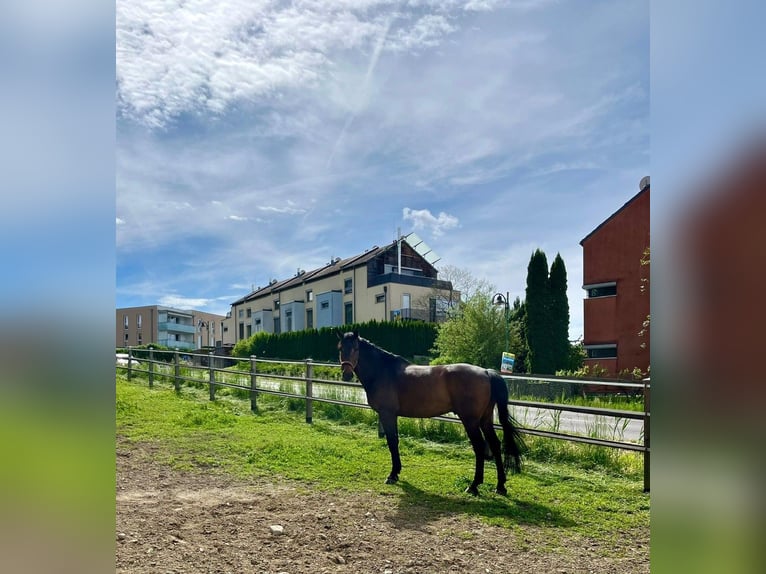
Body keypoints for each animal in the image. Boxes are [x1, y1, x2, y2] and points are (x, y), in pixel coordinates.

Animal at [340, 330, 528, 498]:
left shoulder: (388, 414)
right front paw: (397, 472)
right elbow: (395, 441)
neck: (383, 371)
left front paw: (392, 475)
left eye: (355, 348)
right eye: (340, 348)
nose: (346, 374)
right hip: (485, 420)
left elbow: (392, 442)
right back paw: (500, 486)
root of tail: (486, 372)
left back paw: (473, 486)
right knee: (495, 445)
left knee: (480, 447)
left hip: (471, 421)